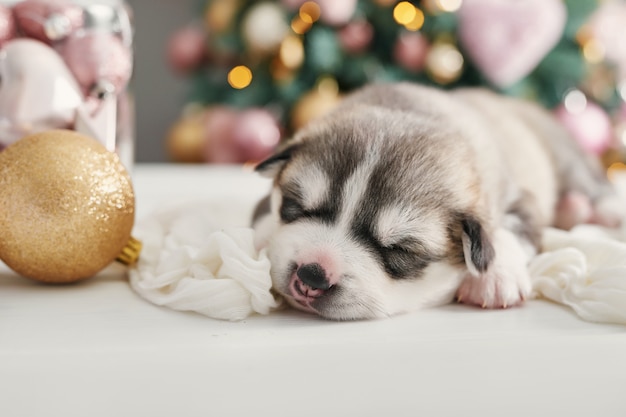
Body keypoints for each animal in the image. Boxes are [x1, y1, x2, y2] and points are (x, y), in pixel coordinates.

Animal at [250, 83, 620, 320]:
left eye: (400, 250)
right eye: (296, 206)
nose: (311, 276)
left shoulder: (518, 196)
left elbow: (507, 230)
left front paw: (494, 277)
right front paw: (260, 238)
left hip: (565, 154)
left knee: (591, 183)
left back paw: (598, 210)